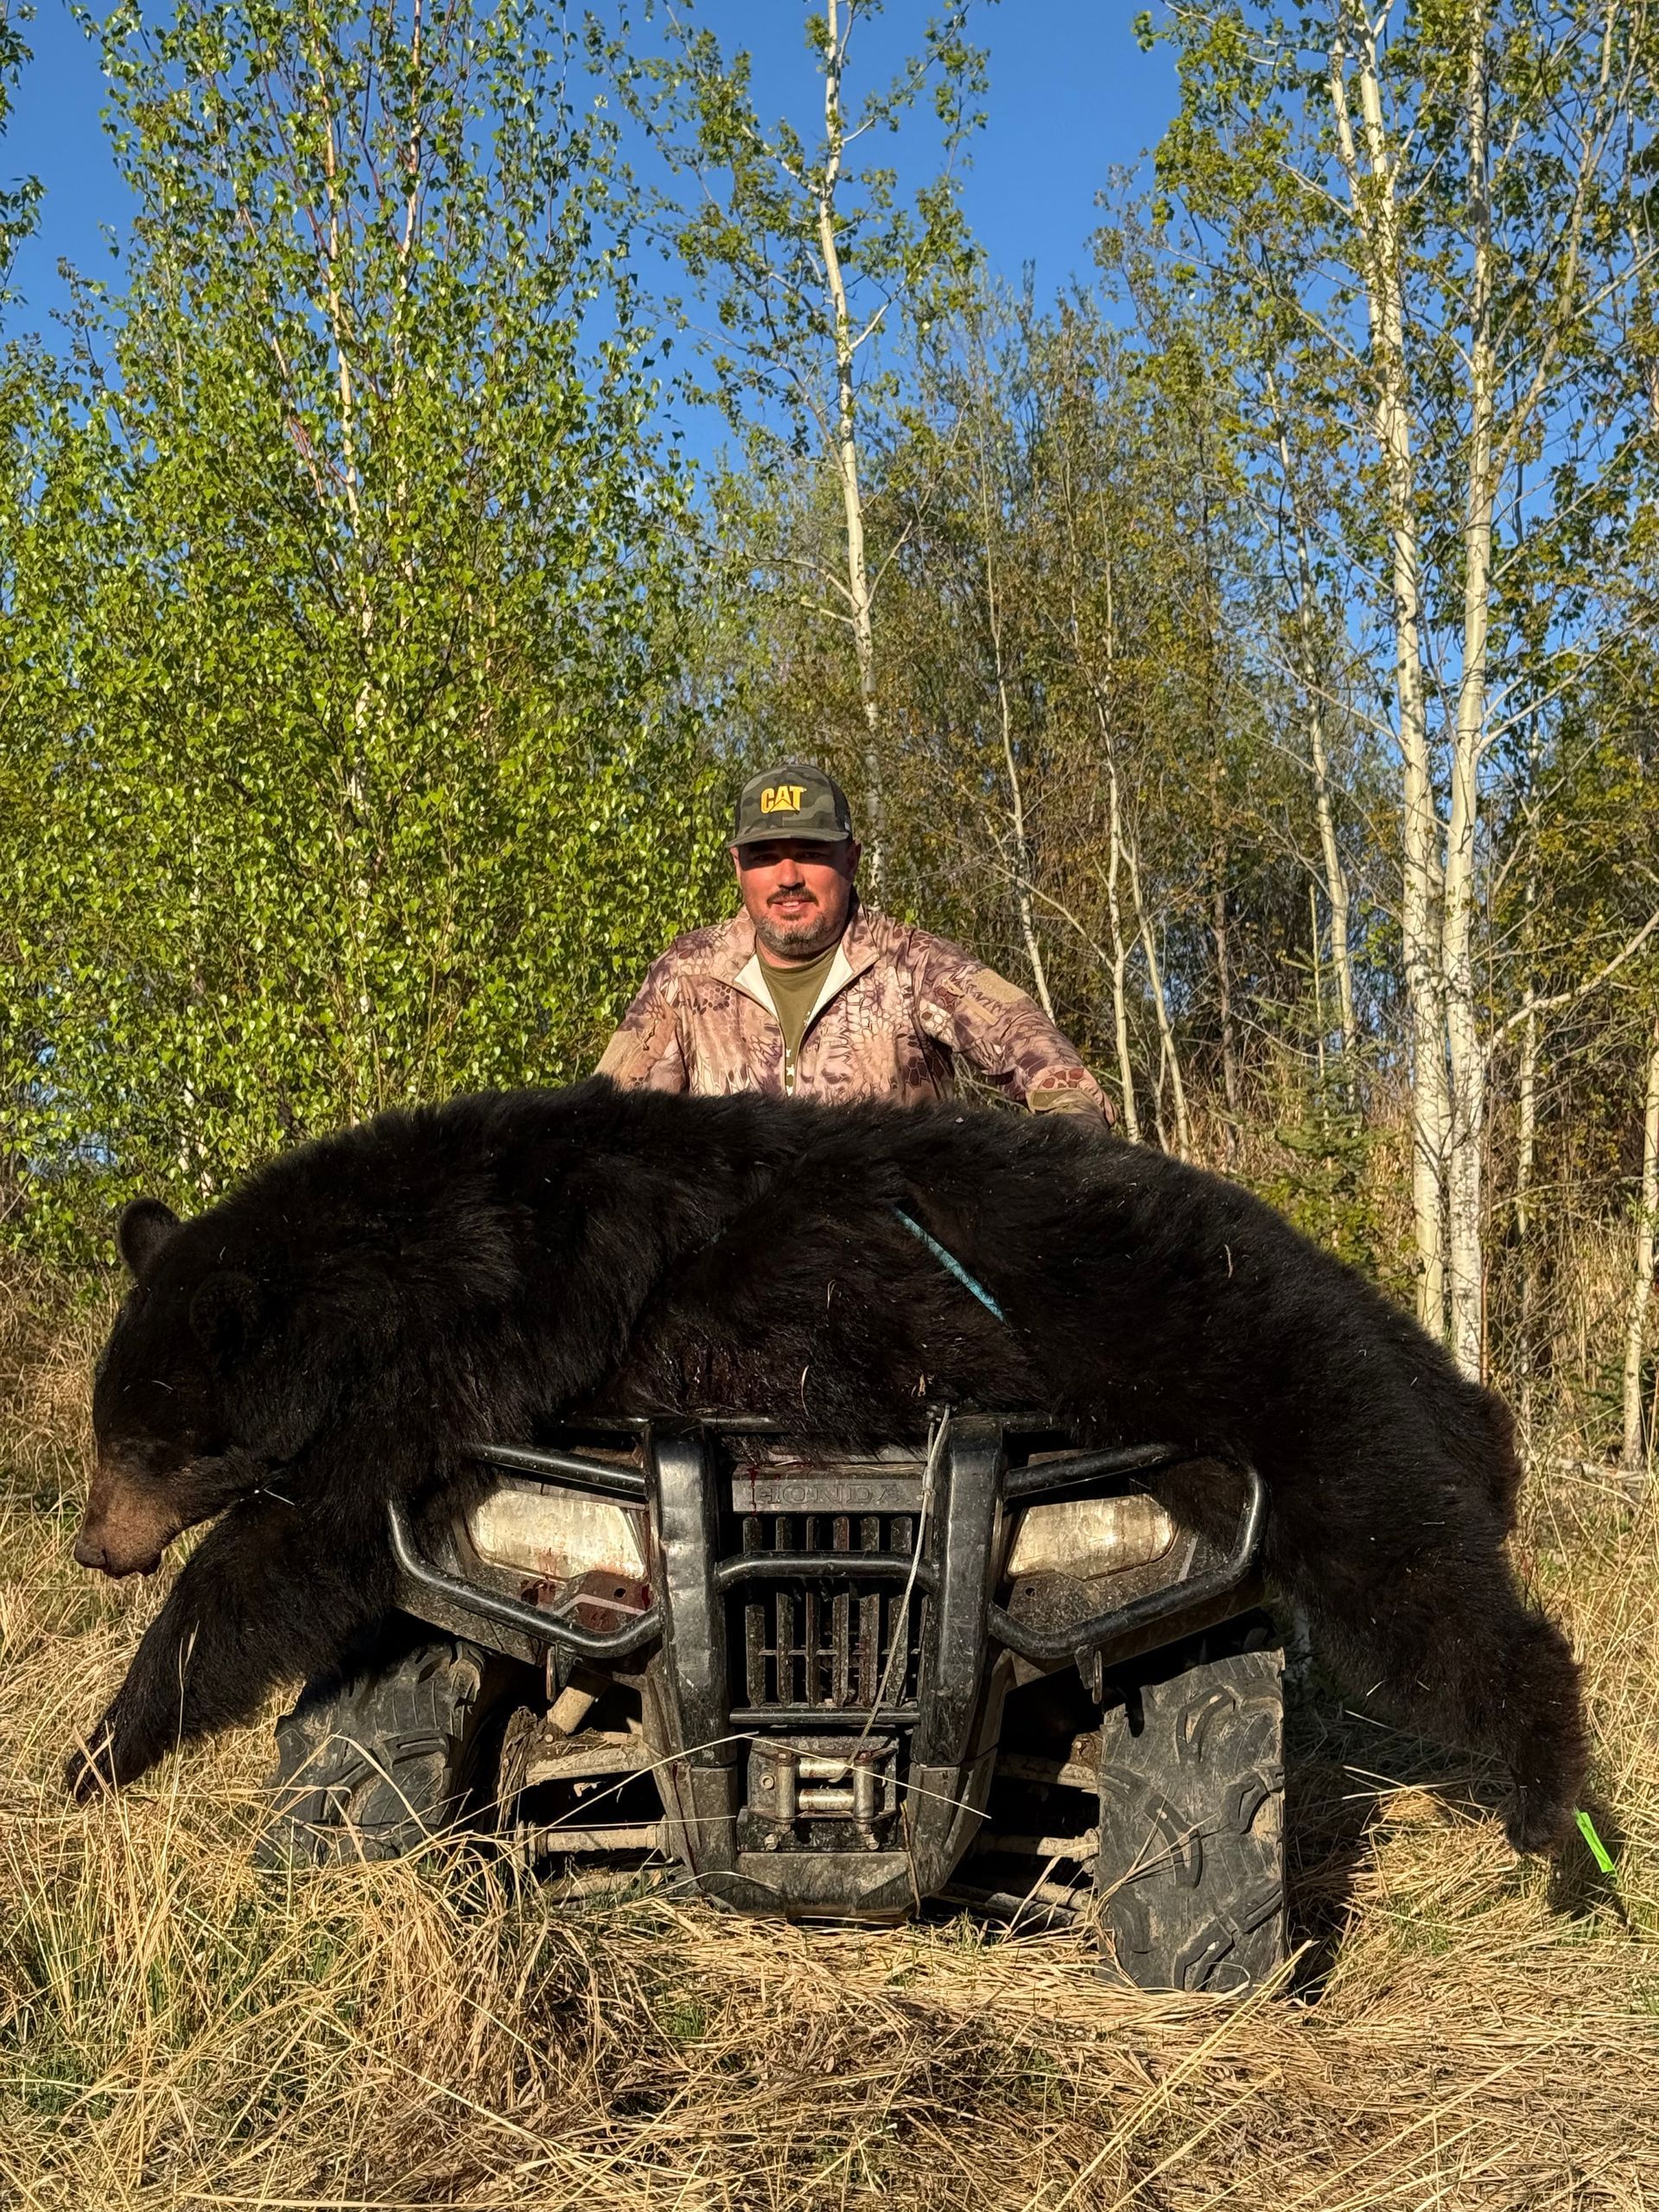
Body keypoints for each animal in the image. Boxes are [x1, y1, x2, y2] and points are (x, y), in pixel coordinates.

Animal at [68, 1078, 1586, 1852]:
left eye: (145, 1444)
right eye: (104, 1435)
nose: (93, 1544)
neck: (415, 1245)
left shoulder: (517, 1319)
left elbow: (292, 1539)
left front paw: (98, 1749)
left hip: (1260, 1367)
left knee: (1422, 1575)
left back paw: (1561, 1820)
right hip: (1216, 1441)